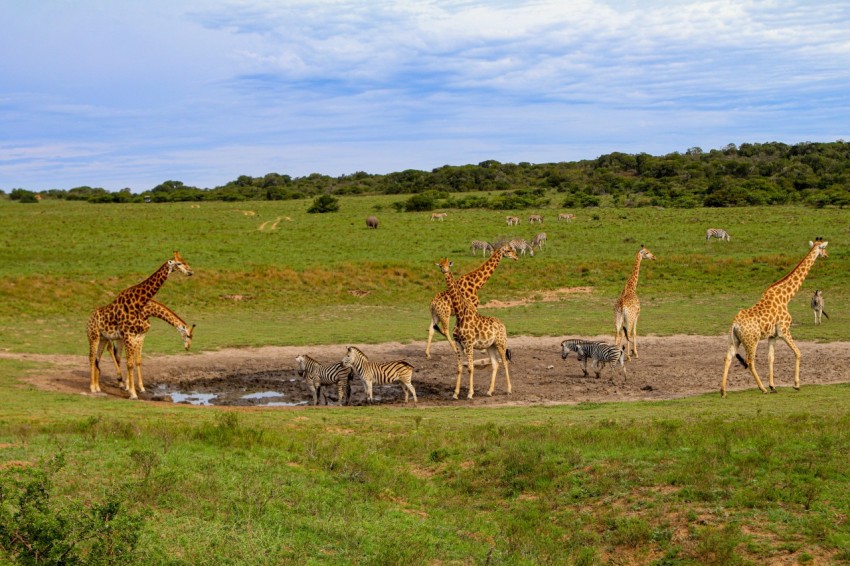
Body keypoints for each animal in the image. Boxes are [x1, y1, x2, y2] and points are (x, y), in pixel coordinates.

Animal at [86, 251, 192, 402]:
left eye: (185, 261)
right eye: (178, 263)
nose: (190, 271)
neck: (140, 304)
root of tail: (89, 319)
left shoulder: (138, 335)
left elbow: (136, 361)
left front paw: (136, 388)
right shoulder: (128, 335)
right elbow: (130, 363)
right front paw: (133, 392)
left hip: (103, 338)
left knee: (98, 358)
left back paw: (98, 387)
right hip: (94, 336)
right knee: (92, 356)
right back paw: (93, 388)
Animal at [438, 260, 510, 402]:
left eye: (448, 264)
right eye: (440, 264)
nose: (444, 270)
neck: (460, 315)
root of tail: (503, 325)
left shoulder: (469, 343)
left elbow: (471, 368)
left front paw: (470, 394)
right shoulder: (459, 344)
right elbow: (459, 368)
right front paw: (455, 394)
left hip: (501, 343)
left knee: (505, 362)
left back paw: (509, 389)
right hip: (490, 346)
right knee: (495, 364)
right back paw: (489, 391)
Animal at [720, 240, 824, 400]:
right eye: (823, 248)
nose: (826, 255)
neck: (786, 297)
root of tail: (734, 324)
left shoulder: (772, 336)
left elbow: (771, 358)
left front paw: (773, 386)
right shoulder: (784, 330)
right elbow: (798, 353)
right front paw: (796, 385)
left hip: (734, 340)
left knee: (728, 358)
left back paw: (723, 391)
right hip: (752, 340)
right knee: (750, 361)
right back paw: (762, 388)